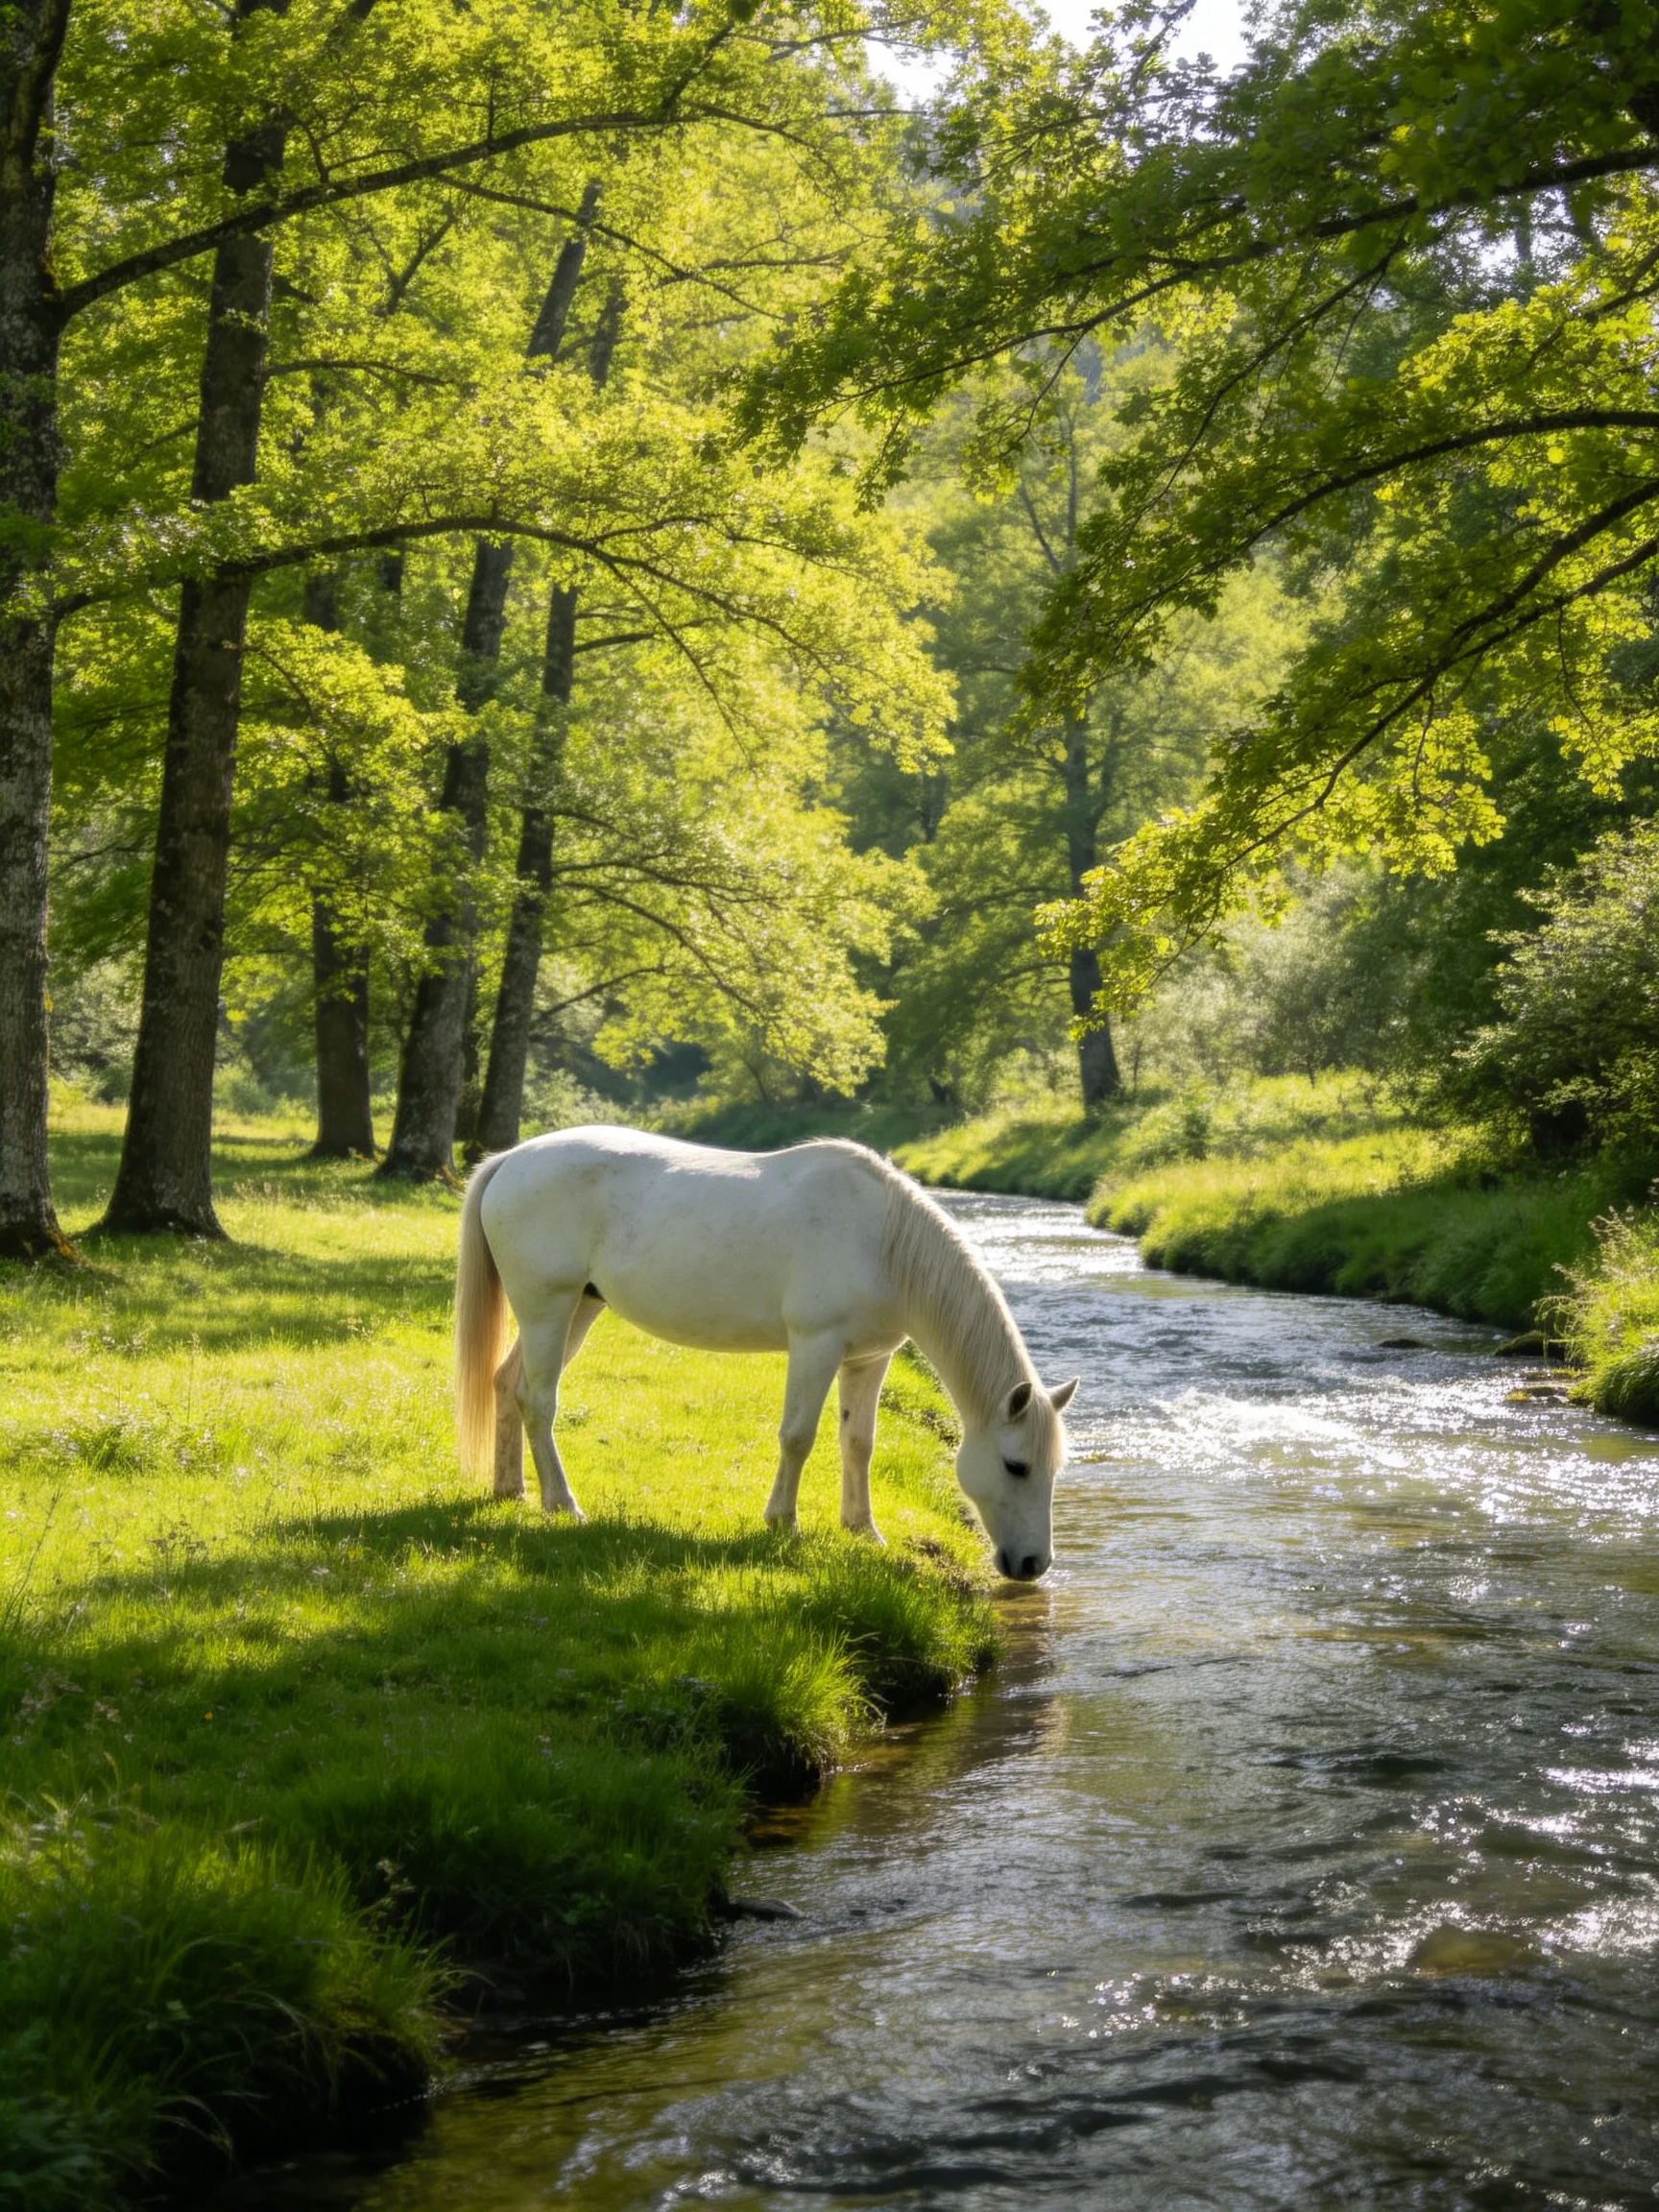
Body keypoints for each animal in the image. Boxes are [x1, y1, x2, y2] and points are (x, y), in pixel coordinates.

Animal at [454, 1126, 1078, 1580]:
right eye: (1016, 1465)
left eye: (1053, 1469)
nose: (1032, 1565)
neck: (882, 1240)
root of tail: (511, 1160)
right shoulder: (815, 1345)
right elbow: (798, 1436)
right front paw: (783, 1524)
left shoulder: (866, 1360)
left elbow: (858, 1442)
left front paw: (863, 1531)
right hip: (548, 1308)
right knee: (539, 1401)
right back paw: (562, 1504)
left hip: (578, 1309)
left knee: (507, 1384)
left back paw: (510, 1490)